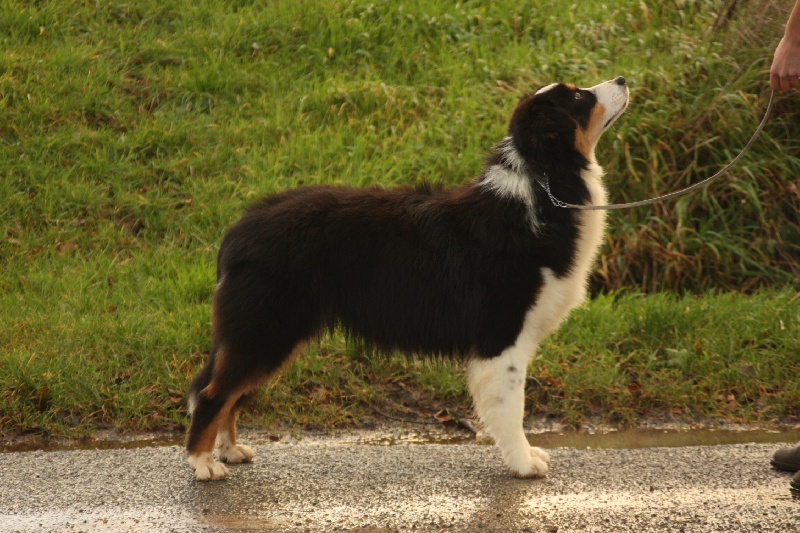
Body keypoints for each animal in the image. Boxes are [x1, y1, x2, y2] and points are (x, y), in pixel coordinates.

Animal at [187, 77, 629, 481]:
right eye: (578, 97)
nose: (623, 79)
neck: (544, 184)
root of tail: (238, 230)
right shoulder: (502, 337)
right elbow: (510, 408)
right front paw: (523, 464)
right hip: (267, 329)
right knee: (213, 394)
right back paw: (204, 464)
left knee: (228, 394)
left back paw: (230, 451)